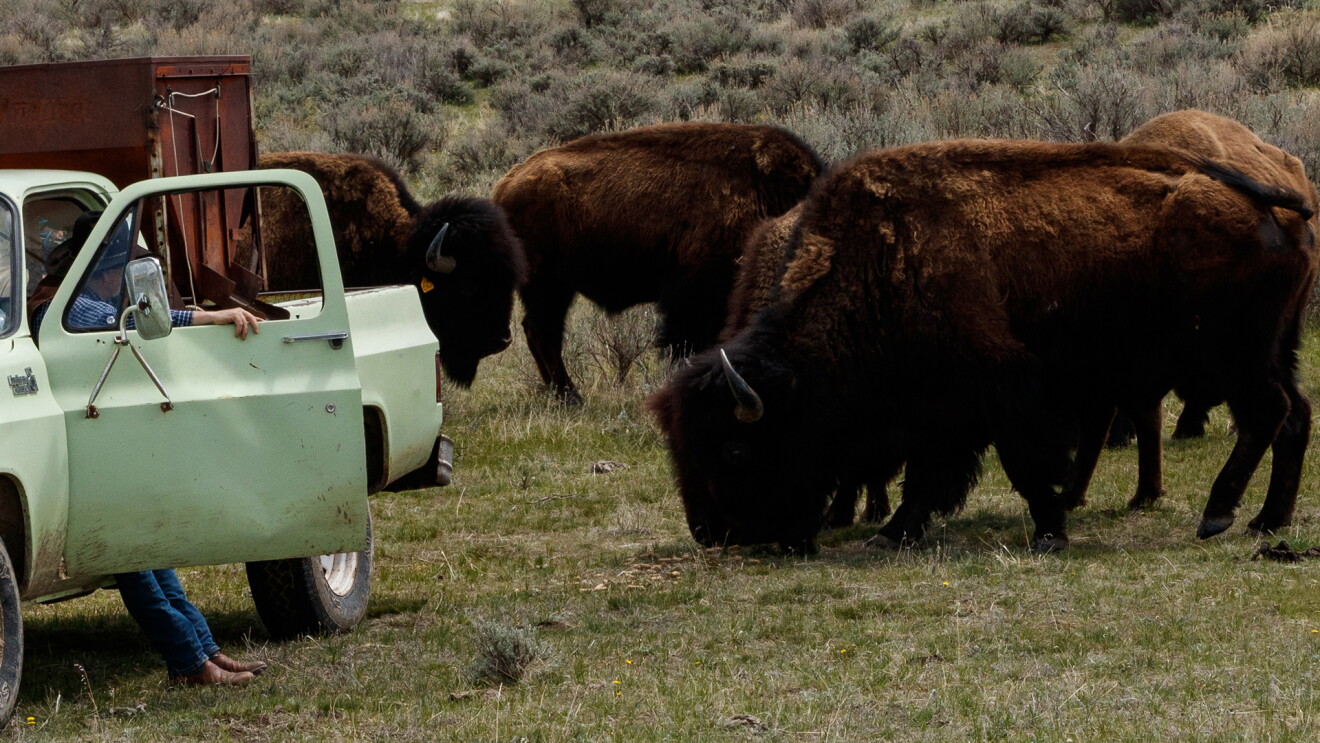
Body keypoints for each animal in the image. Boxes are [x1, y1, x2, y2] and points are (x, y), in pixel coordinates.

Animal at [492, 122, 822, 404]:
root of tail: (506, 185)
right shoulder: (692, 297)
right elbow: (683, 345)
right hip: (549, 286)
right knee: (544, 332)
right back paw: (570, 397)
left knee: (540, 332)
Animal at [651, 139, 1316, 553]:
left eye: (735, 449)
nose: (711, 531)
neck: (883, 263)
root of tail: (1274, 205)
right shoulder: (938, 410)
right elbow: (927, 476)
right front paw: (892, 533)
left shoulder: (1001, 391)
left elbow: (1017, 467)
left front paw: (1049, 532)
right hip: (1274, 352)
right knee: (1295, 416)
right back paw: (1265, 521)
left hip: (1233, 357)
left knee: (1268, 414)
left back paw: (1218, 515)